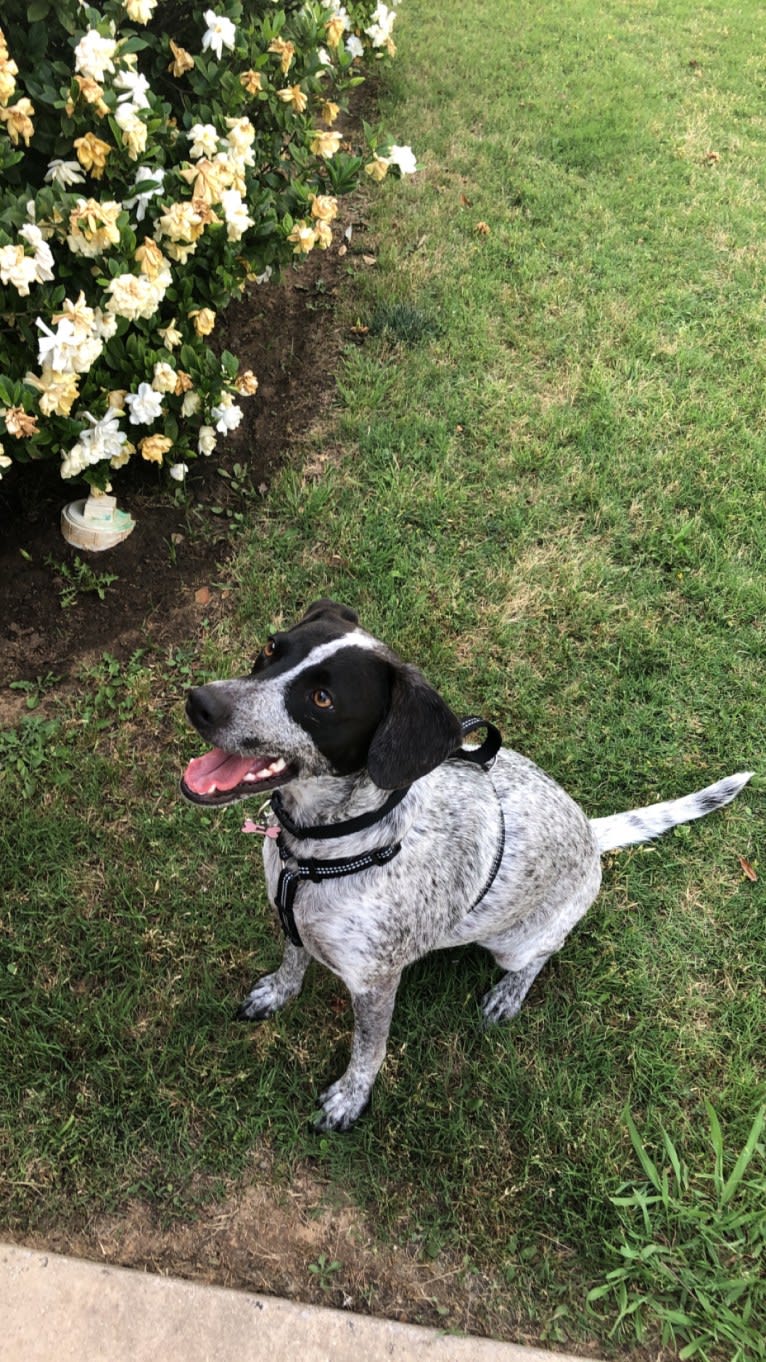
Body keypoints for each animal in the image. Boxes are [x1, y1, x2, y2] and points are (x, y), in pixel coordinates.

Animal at [179, 602, 752, 1133]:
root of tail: (592, 833)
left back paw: (508, 995)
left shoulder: (375, 983)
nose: (199, 702)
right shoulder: (291, 919)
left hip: (514, 942)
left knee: (541, 956)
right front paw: (279, 992)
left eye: (323, 700)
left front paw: (350, 1099)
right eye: (271, 649)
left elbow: (368, 1050)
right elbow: (292, 962)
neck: (316, 849)